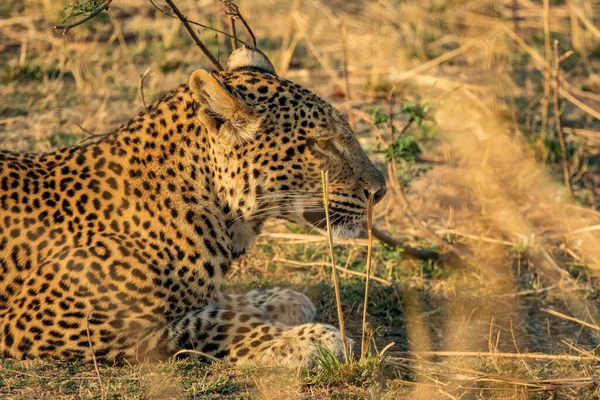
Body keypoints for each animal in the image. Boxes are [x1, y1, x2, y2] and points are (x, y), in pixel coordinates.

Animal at [0, 45, 384, 368]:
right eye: (321, 144)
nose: (379, 191)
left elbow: (217, 301)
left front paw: (280, 301)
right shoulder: (47, 321)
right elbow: (214, 322)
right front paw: (312, 341)